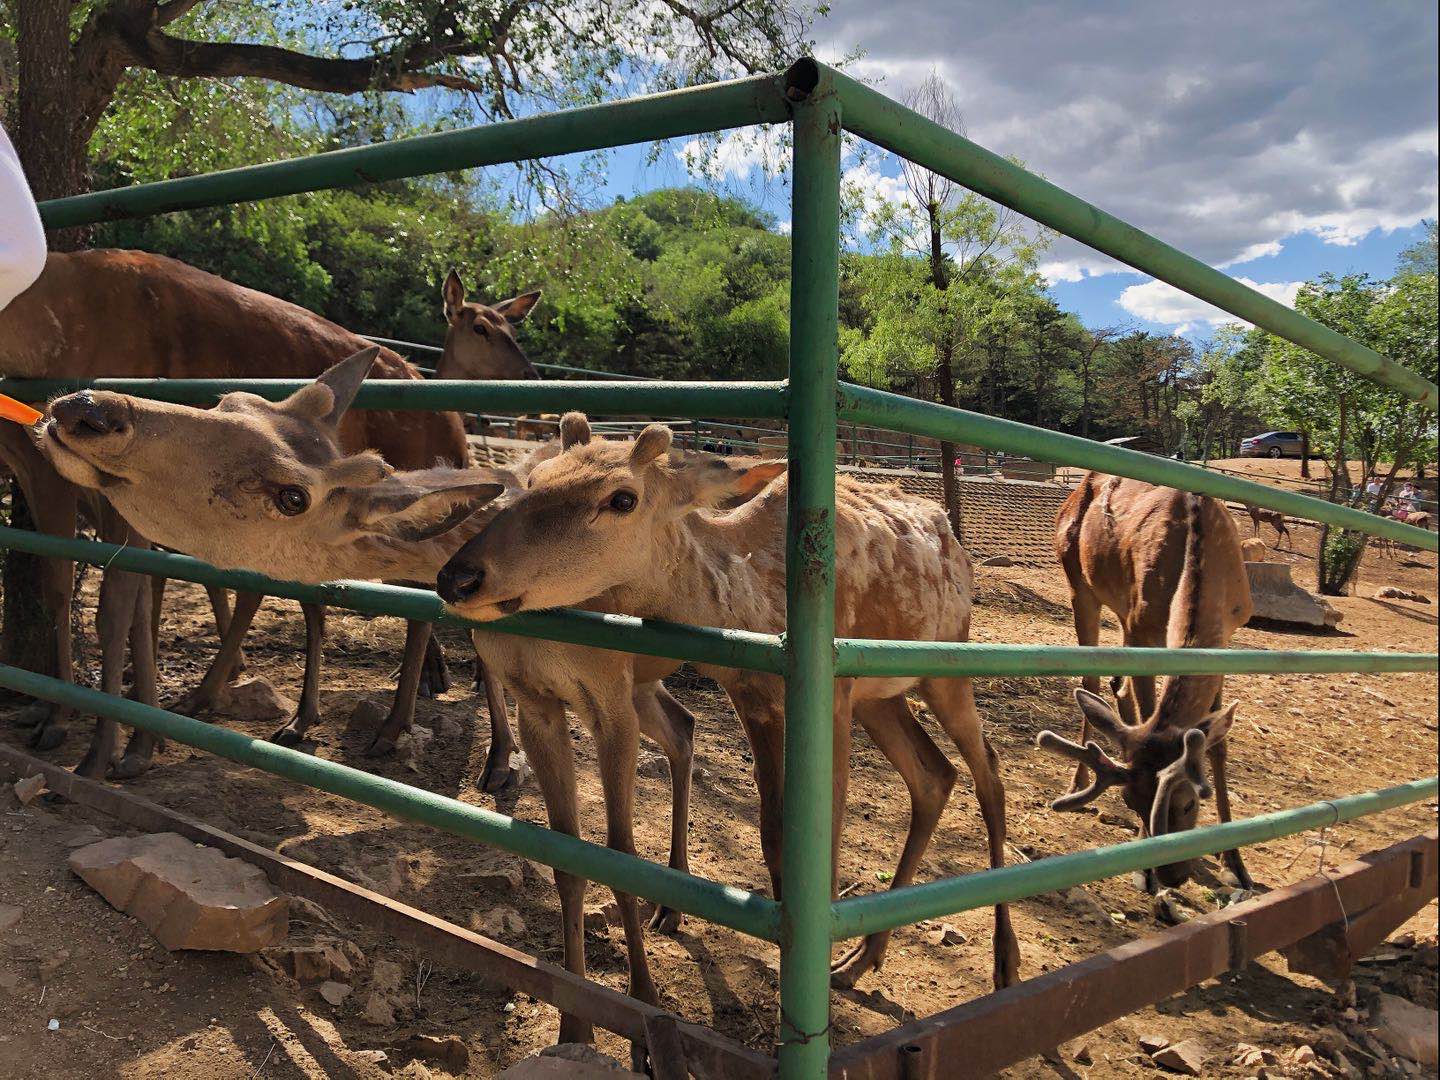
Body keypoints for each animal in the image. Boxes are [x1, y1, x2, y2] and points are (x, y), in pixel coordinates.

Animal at [1042, 478, 1255, 892]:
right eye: (1131, 802)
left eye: (1189, 803)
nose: (1171, 875)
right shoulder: (1143, 627)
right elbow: (1147, 710)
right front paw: (1143, 872)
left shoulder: (1226, 638)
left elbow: (1218, 745)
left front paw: (1234, 863)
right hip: (1080, 584)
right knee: (1093, 679)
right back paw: (1078, 782)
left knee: (1118, 688)